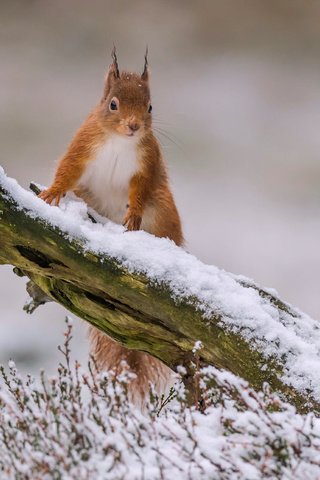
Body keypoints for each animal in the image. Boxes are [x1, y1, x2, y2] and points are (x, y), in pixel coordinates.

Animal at [40, 48, 182, 404]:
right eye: (112, 104)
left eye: (150, 106)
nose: (134, 126)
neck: (120, 141)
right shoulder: (82, 146)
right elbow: (67, 170)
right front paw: (51, 192)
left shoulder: (146, 165)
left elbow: (139, 192)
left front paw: (133, 216)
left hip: (163, 210)